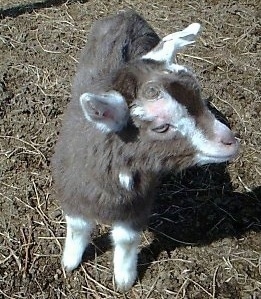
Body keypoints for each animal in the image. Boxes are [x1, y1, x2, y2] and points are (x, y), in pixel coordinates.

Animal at [51, 10, 238, 292]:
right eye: (161, 127)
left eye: (199, 97)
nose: (229, 141)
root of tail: (128, 13)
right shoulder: (74, 192)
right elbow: (78, 227)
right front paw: (69, 262)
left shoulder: (138, 203)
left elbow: (126, 240)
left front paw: (124, 279)